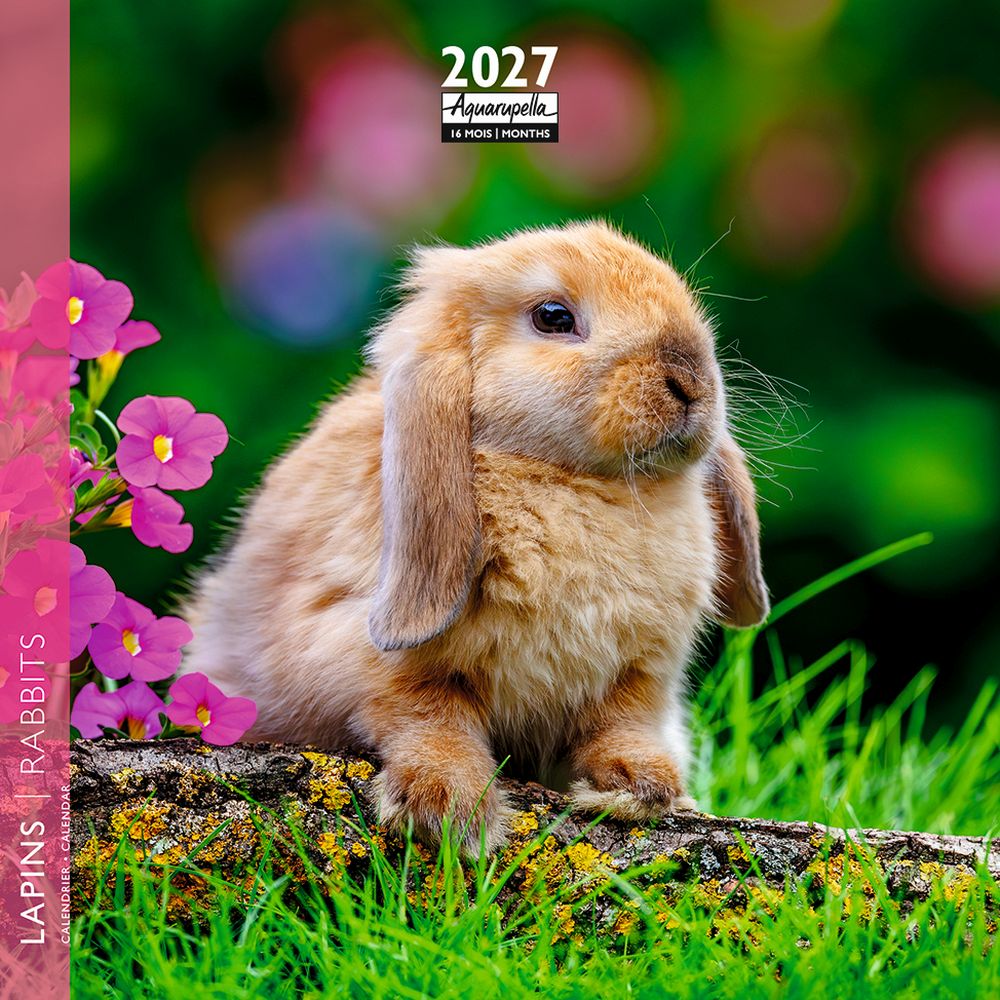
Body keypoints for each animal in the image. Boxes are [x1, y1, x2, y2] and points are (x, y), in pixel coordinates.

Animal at [182, 220, 769, 852]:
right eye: (554, 317)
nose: (690, 380)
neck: (579, 480)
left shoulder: (639, 672)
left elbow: (620, 724)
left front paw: (641, 788)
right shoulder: (373, 655)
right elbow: (428, 716)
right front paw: (449, 809)